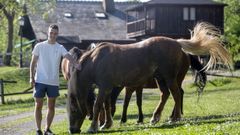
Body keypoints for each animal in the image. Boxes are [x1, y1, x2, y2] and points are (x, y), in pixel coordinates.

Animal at [66, 22, 232, 133]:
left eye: (73, 110)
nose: (72, 130)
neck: (96, 60)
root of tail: (176, 42)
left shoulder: (105, 87)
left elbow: (97, 106)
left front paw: (93, 127)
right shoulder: (109, 88)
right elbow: (106, 106)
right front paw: (106, 124)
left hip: (169, 78)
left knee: (176, 94)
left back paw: (175, 117)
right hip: (160, 79)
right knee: (165, 94)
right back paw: (156, 118)